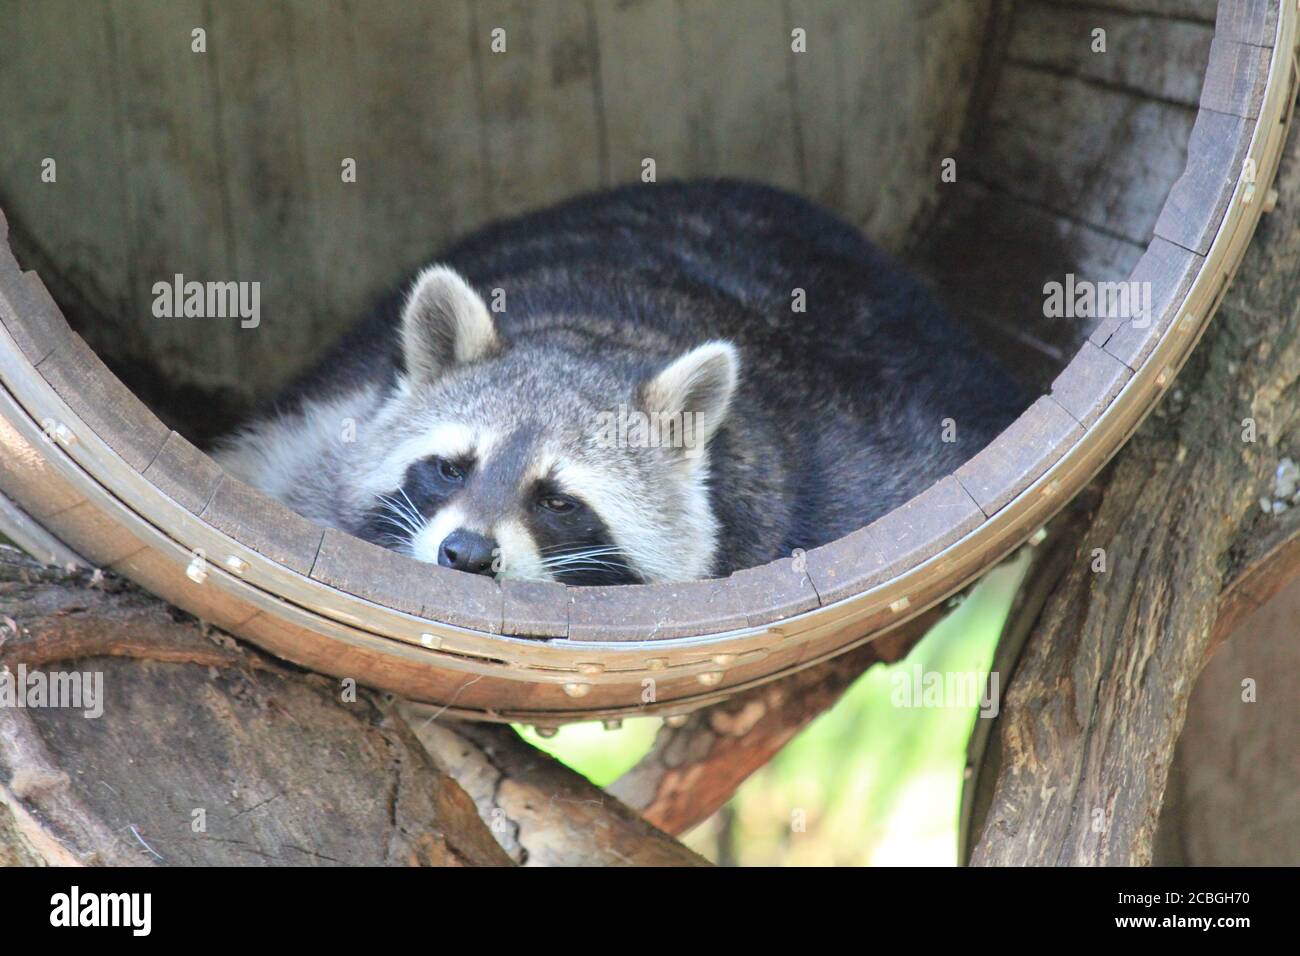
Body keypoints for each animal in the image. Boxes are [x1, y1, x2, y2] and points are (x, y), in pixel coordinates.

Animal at [213, 178, 1024, 582]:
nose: (467, 556)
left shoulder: (852, 490)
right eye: (449, 468)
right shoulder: (325, 430)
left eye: (559, 500)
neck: (596, 332)